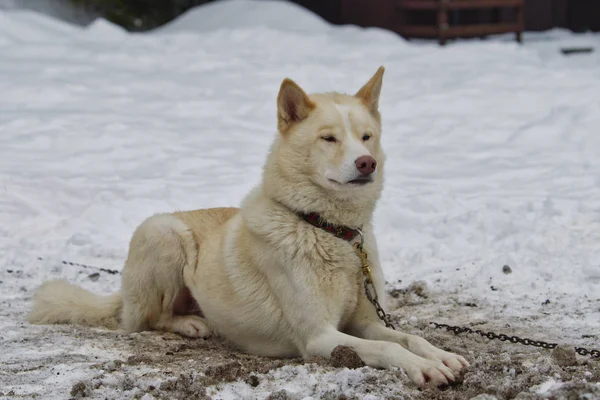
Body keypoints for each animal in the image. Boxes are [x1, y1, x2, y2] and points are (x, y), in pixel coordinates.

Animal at [28, 67, 468, 390]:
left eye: (366, 137)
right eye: (328, 138)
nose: (366, 163)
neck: (329, 231)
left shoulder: (365, 322)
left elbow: (410, 338)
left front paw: (441, 355)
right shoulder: (320, 338)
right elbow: (389, 351)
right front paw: (424, 368)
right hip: (163, 234)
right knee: (144, 320)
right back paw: (190, 323)